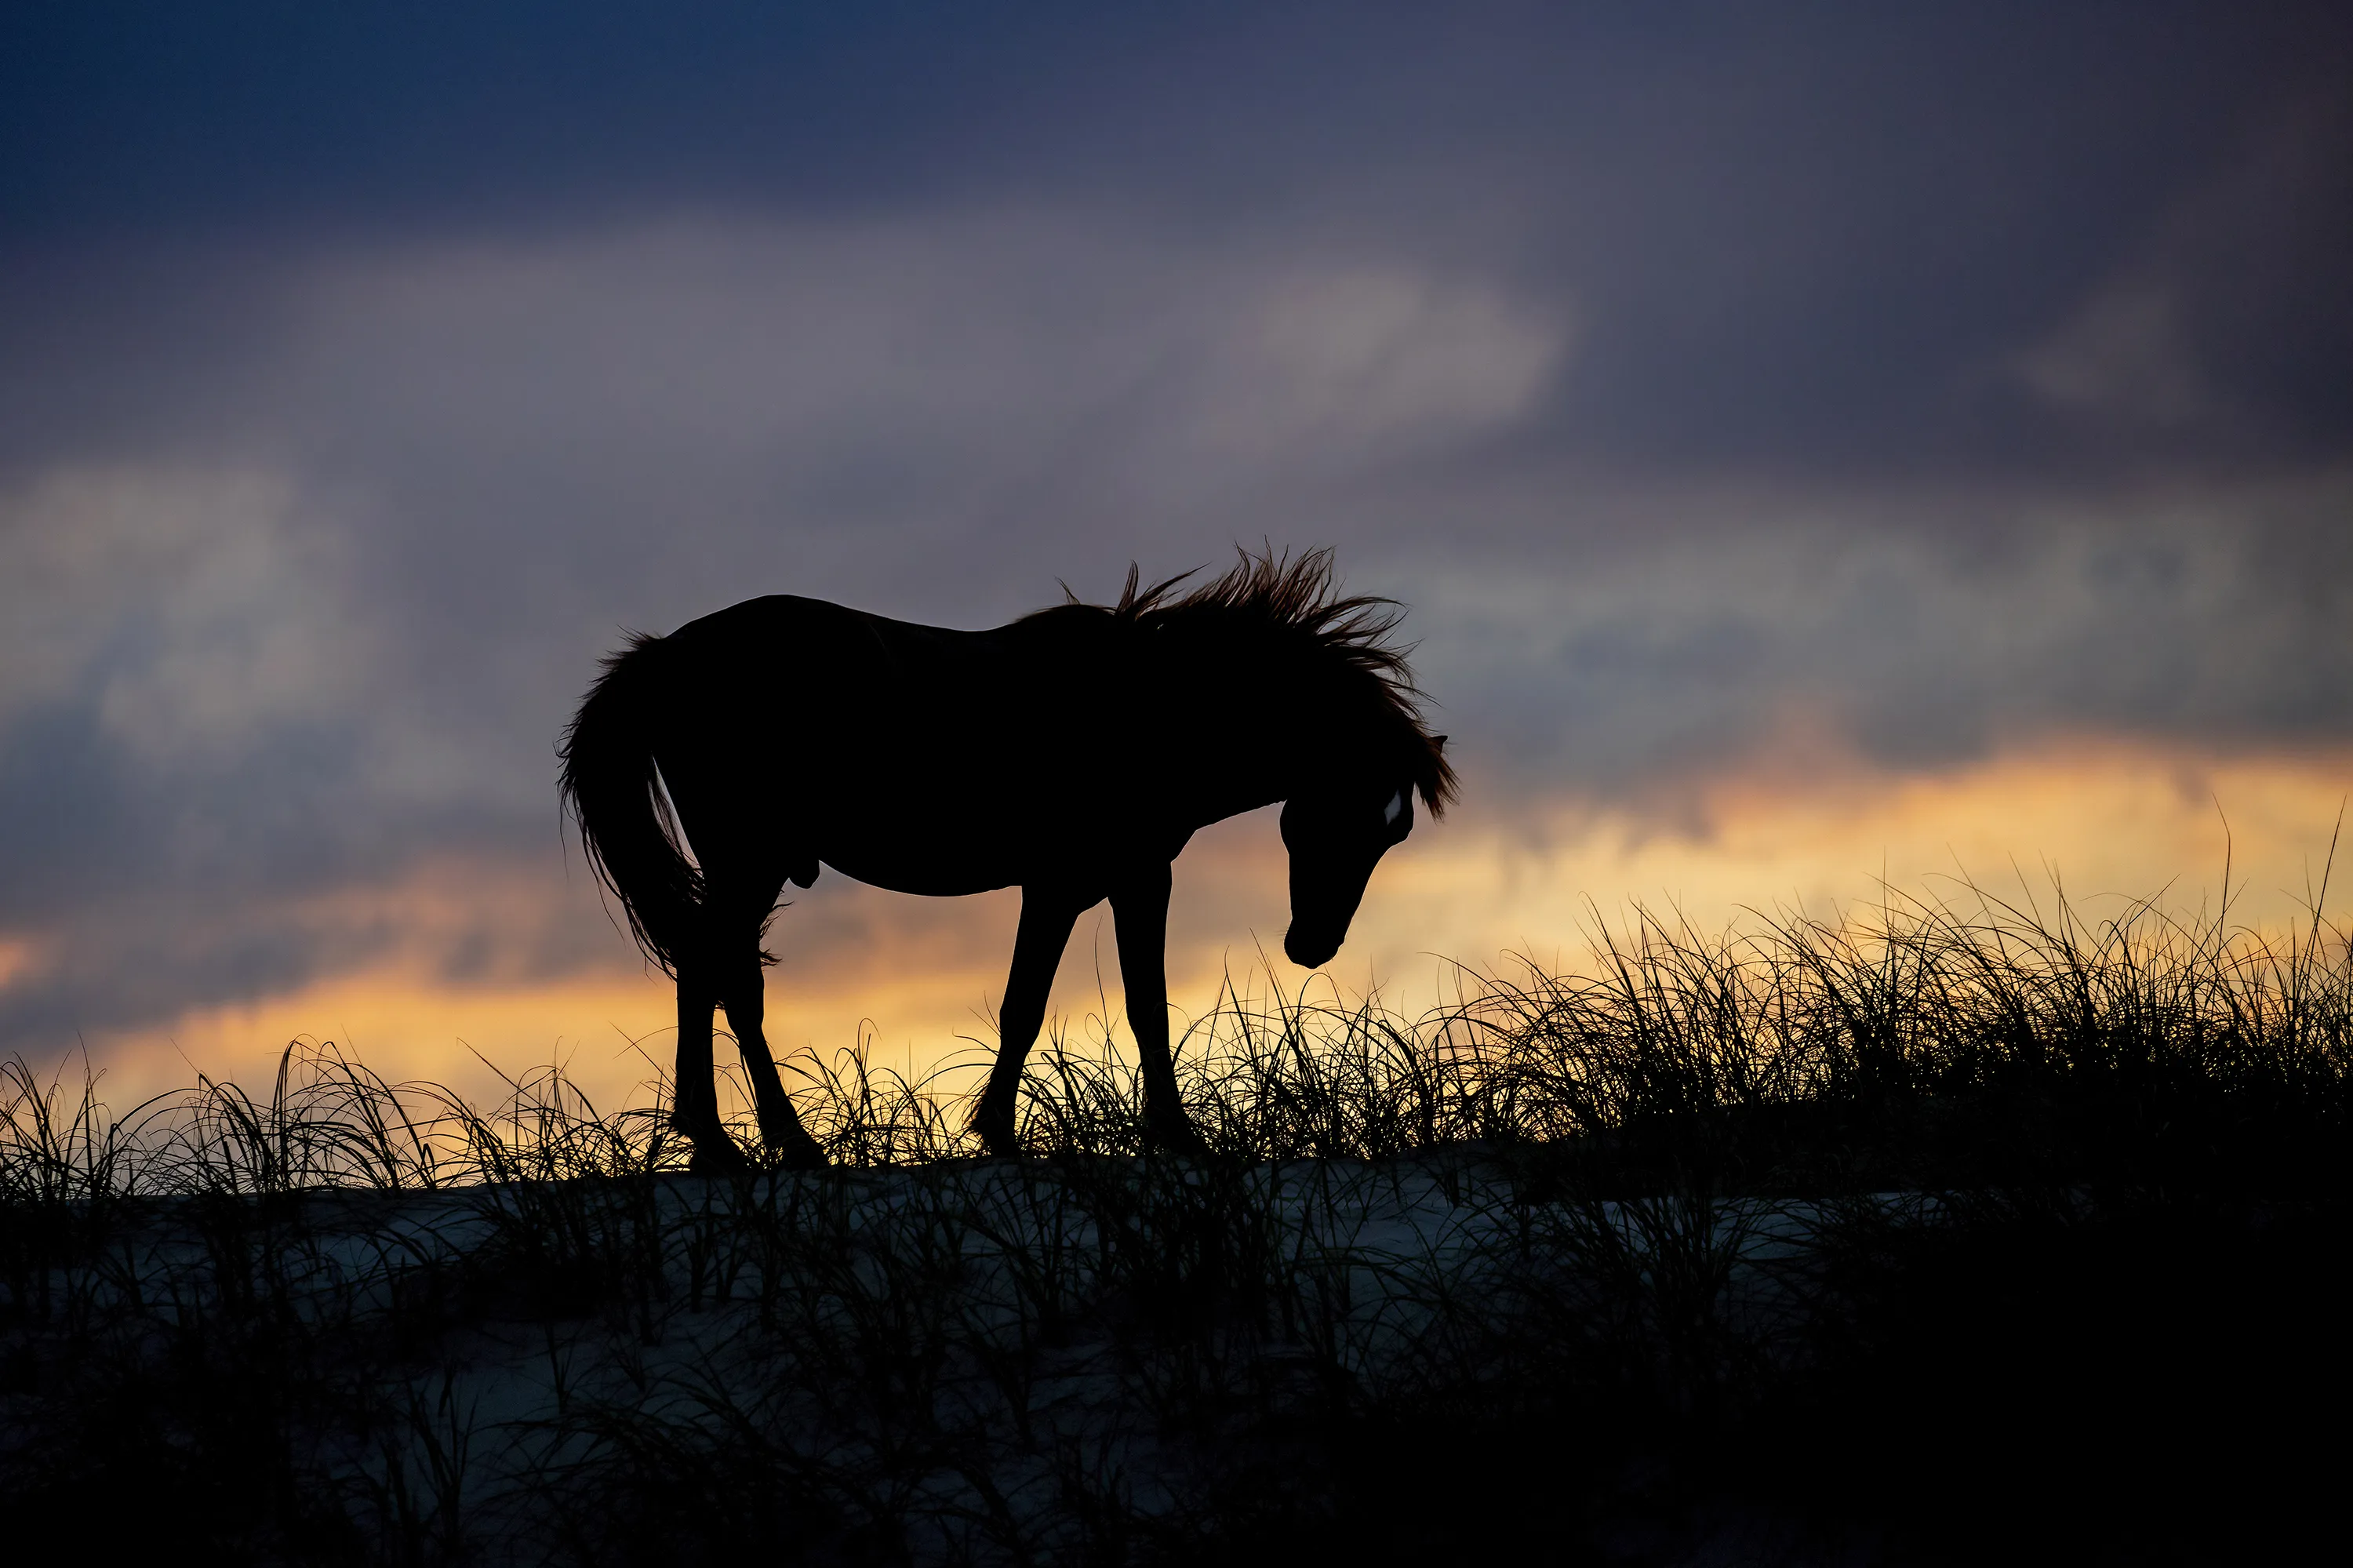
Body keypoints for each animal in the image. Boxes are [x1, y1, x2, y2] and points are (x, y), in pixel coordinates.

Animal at [558, 547, 1455, 1169]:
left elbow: (1059, 1003)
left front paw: (1015, 1131)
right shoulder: (1115, 878)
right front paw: (1160, 1135)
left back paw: (726, 1142)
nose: (1313, 945)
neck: (1151, 707)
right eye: (1339, 816)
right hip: (751, 859)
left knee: (709, 972)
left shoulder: (1081, 886)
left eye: (1394, 833)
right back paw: (766, 1142)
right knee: (723, 975)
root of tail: (668, 655)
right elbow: (1106, 1005)